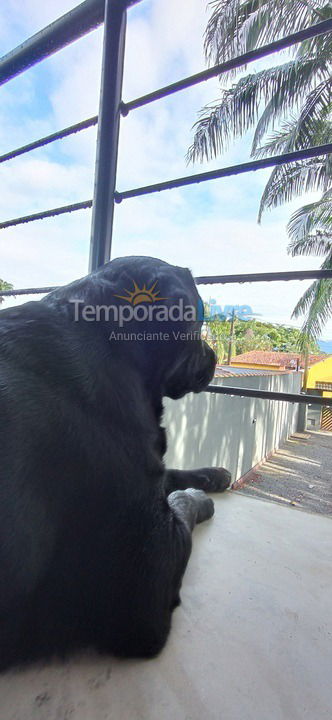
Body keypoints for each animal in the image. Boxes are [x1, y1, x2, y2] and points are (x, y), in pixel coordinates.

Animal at [0, 255, 231, 668]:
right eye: (198, 321)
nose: (215, 355)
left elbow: (170, 476)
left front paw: (212, 474)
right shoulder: (147, 591)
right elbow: (181, 504)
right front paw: (199, 497)